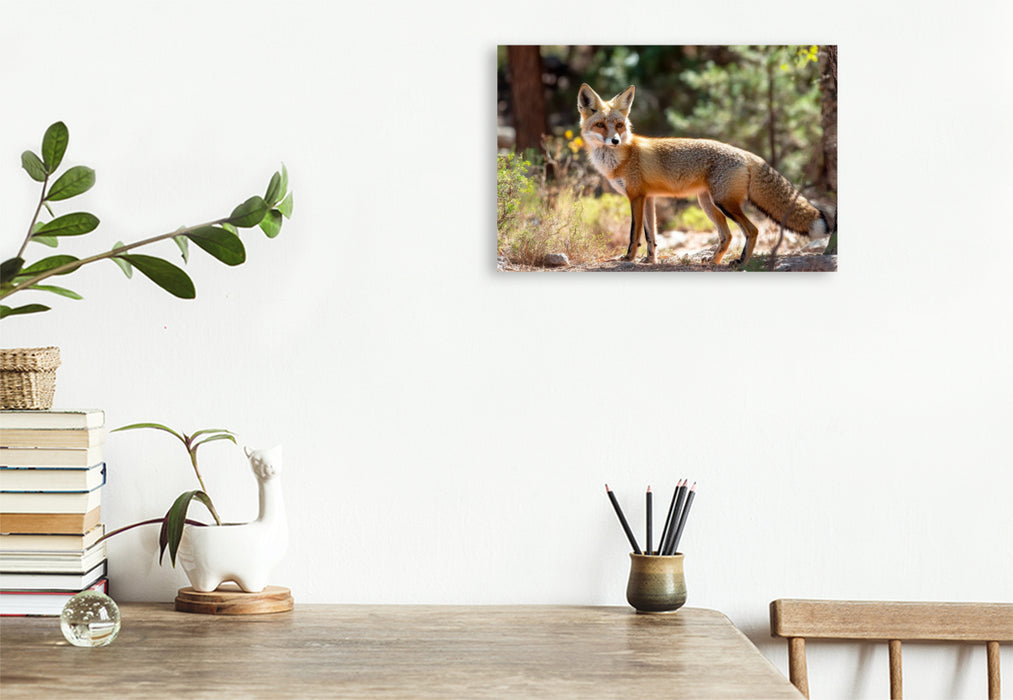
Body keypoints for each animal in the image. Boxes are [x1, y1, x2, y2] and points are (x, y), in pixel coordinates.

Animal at [577, 83, 830, 266]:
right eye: (600, 125)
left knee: (752, 230)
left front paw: (628, 258)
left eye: (619, 125)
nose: (615, 140)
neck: (621, 157)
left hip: (724, 203)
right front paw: (650, 260)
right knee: (727, 236)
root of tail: (746, 154)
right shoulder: (648, 198)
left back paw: (741, 262)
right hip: (708, 204)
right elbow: (651, 236)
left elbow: (634, 234)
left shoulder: (636, 196)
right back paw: (714, 261)